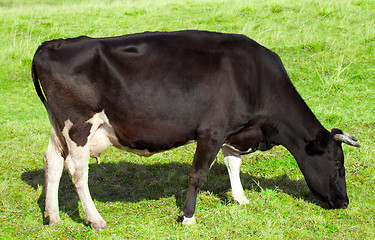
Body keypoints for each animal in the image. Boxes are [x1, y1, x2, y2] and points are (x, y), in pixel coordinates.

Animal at [32, 30, 362, 231]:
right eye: (338, 164)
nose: (345, 202)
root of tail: (53, 44)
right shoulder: (212, 130)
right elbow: (199, 173)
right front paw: (188, 217)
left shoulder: (233, 130)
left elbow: (233, 163)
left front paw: (240, 199)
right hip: (78, 126)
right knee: (77, 171)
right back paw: (95, 219)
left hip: (59, 127)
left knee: (53, 163)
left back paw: (54, 216)